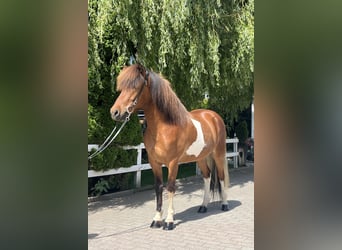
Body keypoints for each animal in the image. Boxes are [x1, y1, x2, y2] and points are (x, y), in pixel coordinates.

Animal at [110, 63, 230, 230]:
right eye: (121, 88)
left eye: (135, 86)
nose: (115, 112)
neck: (164, 127)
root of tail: (213, 116)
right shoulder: (154, 163)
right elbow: (159, 187)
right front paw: (156, 219)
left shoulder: (173, 163)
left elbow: (171, 187)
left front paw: (169, 221)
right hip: (201, 157)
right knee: (207, 177)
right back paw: (203, 206)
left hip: (218, 154)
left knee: (221, 176)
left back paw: (224, 204)